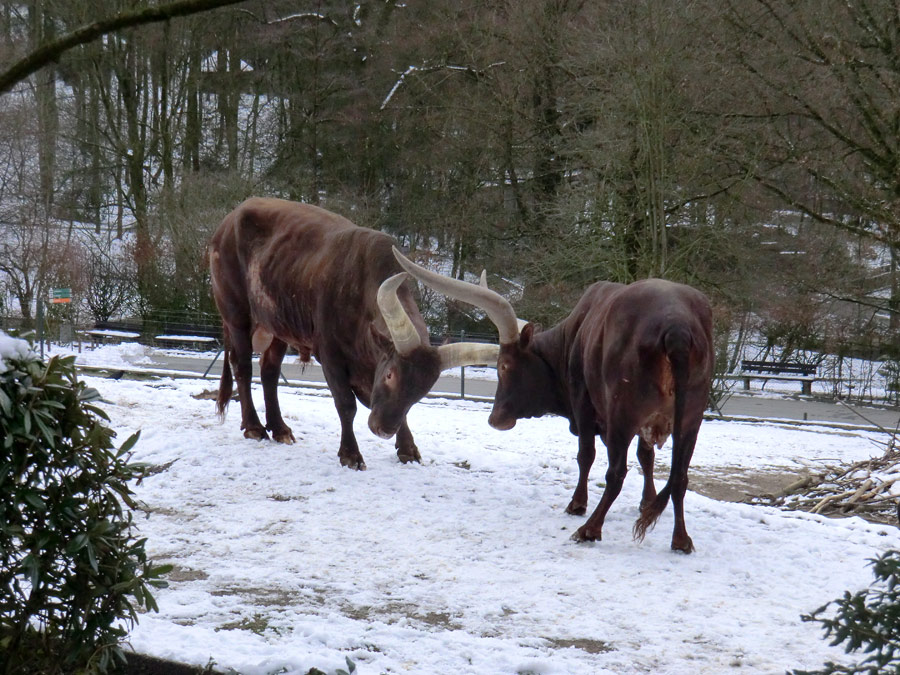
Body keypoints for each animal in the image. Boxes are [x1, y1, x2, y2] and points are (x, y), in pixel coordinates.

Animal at [208, 198, 500, 468]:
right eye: (391, 375)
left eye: (424, 389)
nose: (384, 429)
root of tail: (231, 218)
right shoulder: (330, 355)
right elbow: (346, 404)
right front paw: (350, 454)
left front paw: (407, 448)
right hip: (236, 315)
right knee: (243, 367)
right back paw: (254, 427)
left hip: (279, 325)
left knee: (269, 371)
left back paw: (280, 429)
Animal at [390, 248, 712, 556]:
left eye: (504, 365)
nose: (495, 419)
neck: (573, 336)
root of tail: (676, 327)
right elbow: (646, 457)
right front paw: (647, 503)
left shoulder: (585, 406)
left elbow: (586, 455)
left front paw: (577, 504)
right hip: (690, 420)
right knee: (680, 476)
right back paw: (681, 540)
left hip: (623, 413)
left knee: (616, 472)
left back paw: (589, 529)